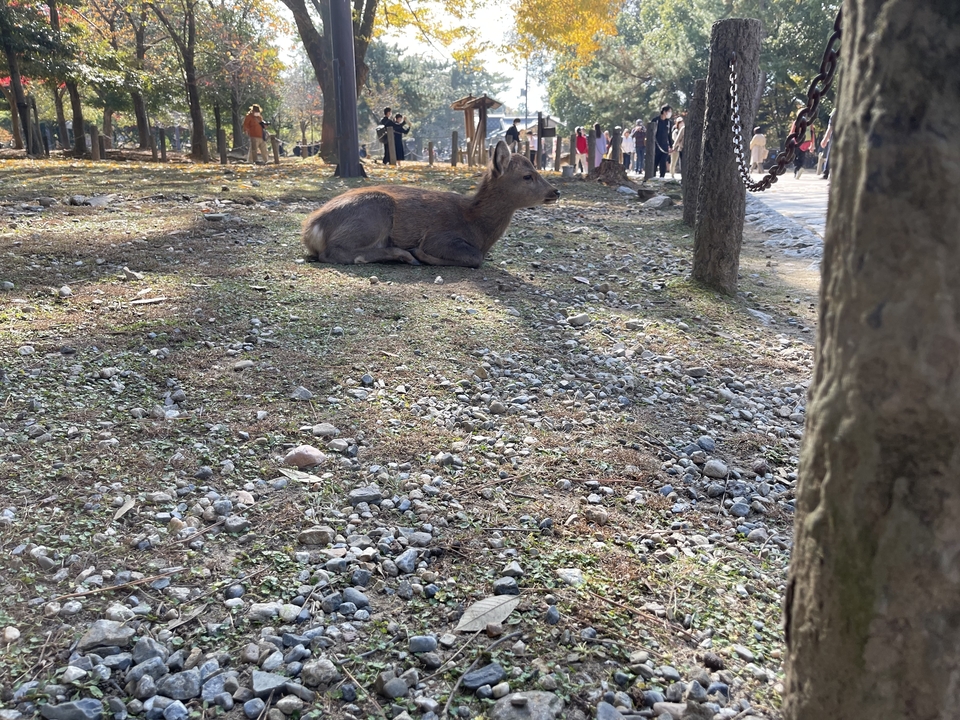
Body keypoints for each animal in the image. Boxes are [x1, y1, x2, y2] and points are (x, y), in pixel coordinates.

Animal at [301, 140, 560, 268]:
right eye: (528, 176)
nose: (555, 191)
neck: (477, 227)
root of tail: (311, 229)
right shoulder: (440, 237)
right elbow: (475, 258)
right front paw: (420, 253)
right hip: (374, 212)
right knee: (333, 252)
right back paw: (403, 255)